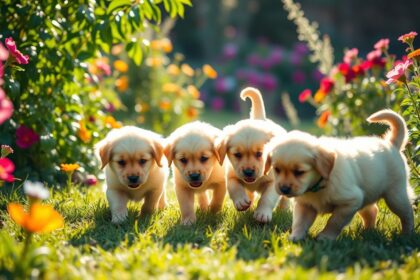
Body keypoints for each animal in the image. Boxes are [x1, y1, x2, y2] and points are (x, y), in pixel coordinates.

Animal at [217, 87, 288, 223]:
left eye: (260, 154)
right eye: (237, 154)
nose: (248, 172)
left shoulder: (273, 183)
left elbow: (267, 198)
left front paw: (262, 214)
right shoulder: (231, 175)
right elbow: (235, 187)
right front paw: (241, 202)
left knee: (285, 197)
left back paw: (283, 209)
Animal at [266, 109, 414, 241]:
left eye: (299, 172)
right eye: (277, 169)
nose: (284, 189)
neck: (320, 183)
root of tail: (391, 144)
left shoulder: (351, 202)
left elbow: (334, 221)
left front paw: (325, 237)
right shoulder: (305, 205)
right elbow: (299, 222)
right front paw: (295, 237)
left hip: (395, 196)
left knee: (407, 213)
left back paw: (406, 235)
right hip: (368, 194)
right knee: (372, 211)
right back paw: (368, 232)